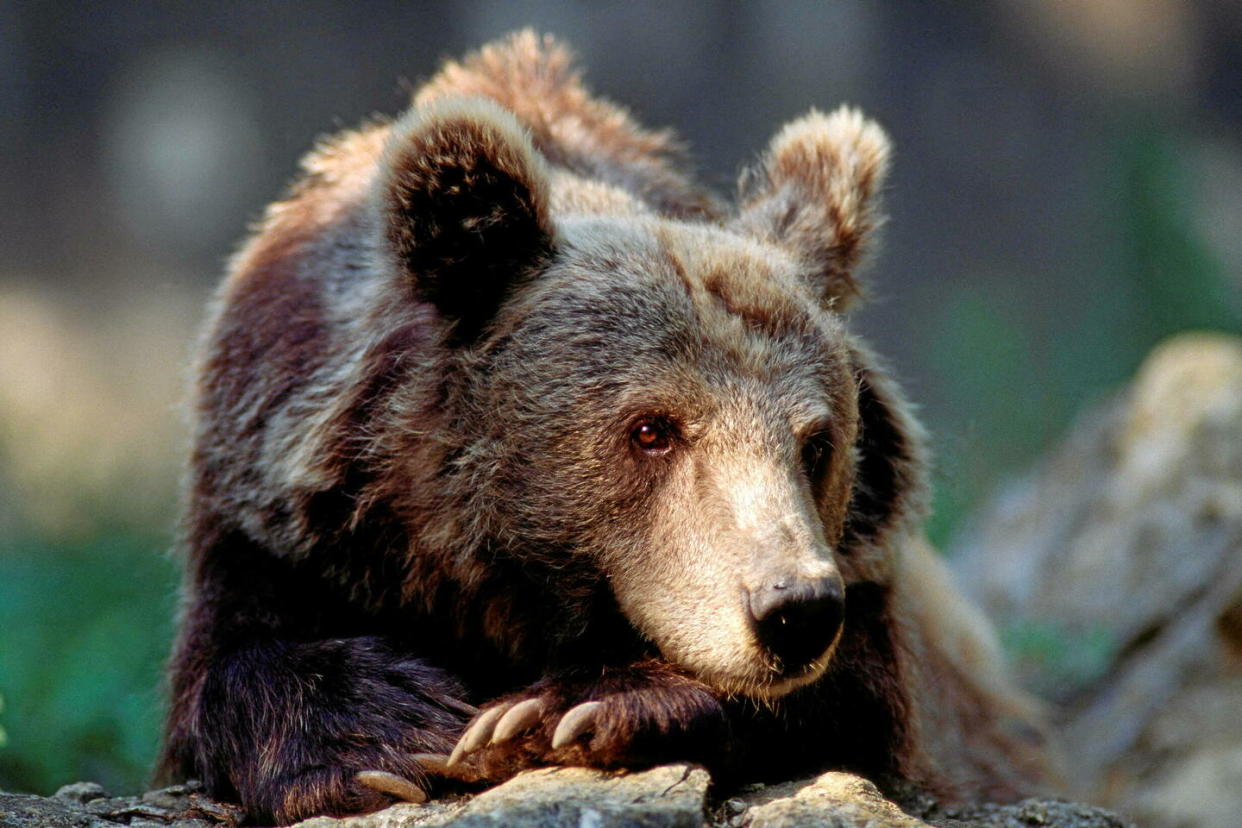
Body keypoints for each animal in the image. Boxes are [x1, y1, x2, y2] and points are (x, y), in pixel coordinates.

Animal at [157, 29, 1058, 824]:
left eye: (817, 443)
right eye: (652, 429)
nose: (792, 609)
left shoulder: (871, 592)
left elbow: (856, 698)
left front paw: (573, 706)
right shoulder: (277, 506)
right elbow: (236, 661)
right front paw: (383, 733)